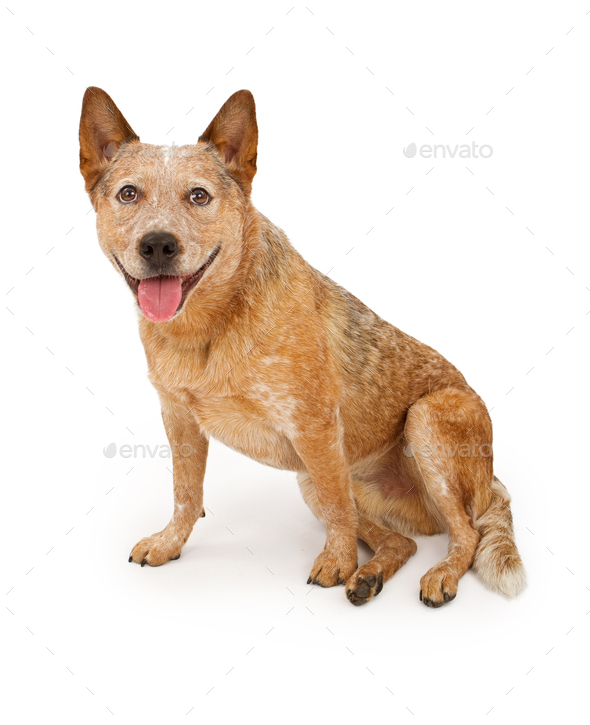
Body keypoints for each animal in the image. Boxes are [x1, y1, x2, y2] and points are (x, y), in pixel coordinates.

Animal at [78, 86, 528, 604]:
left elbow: (338, 510)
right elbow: (186, 495)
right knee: (402, 540)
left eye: (199, 196)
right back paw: (370, 575)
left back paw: (440, 574)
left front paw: (338, 561)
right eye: (128, 193)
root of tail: (493, 483)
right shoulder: (179, 418)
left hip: (425, 418)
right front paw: (170, 543)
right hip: (310, 479)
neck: (208, 328)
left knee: (466, 532)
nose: (157, 245)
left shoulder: (314, 426)